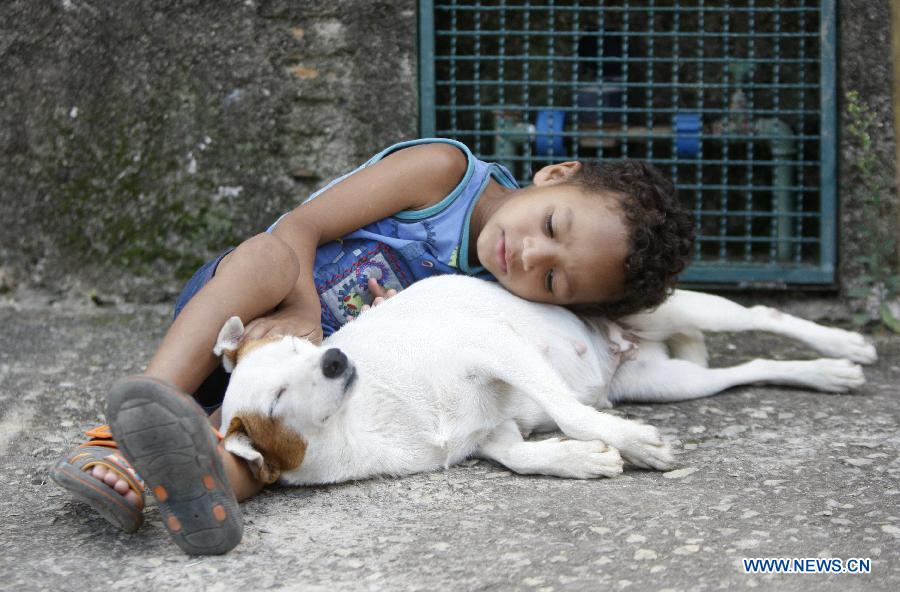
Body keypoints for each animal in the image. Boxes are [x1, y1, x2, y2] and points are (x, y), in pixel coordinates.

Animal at [209, 272, 872, 486]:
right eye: (278, 395)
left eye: (304, 345)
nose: (337, 360)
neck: (365, 415)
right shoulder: (490, 435)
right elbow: (522, 457)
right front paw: (581, 459)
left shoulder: (493, 347)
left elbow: (571, 410)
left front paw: (630, 444)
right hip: (668, 382)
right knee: (750, 370)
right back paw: (825, 374)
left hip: (682, 311)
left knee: (763, 316)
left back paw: (843, 348)